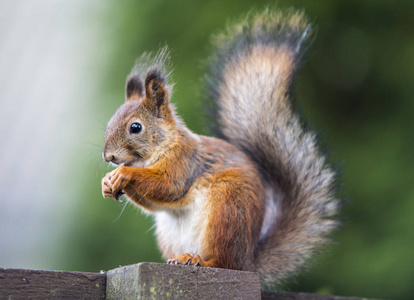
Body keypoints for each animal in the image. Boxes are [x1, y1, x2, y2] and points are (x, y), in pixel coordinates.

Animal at [102, 9, 338, 284]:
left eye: (135, 127)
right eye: (110, 122)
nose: (109, 156)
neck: (159, 148)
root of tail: (249, 261)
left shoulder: (184, 161)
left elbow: (168, 186)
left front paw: (123, 173)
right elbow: (155, 203)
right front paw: (107, 182)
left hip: (227, 206)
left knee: (224, 263)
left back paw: (197, 260)